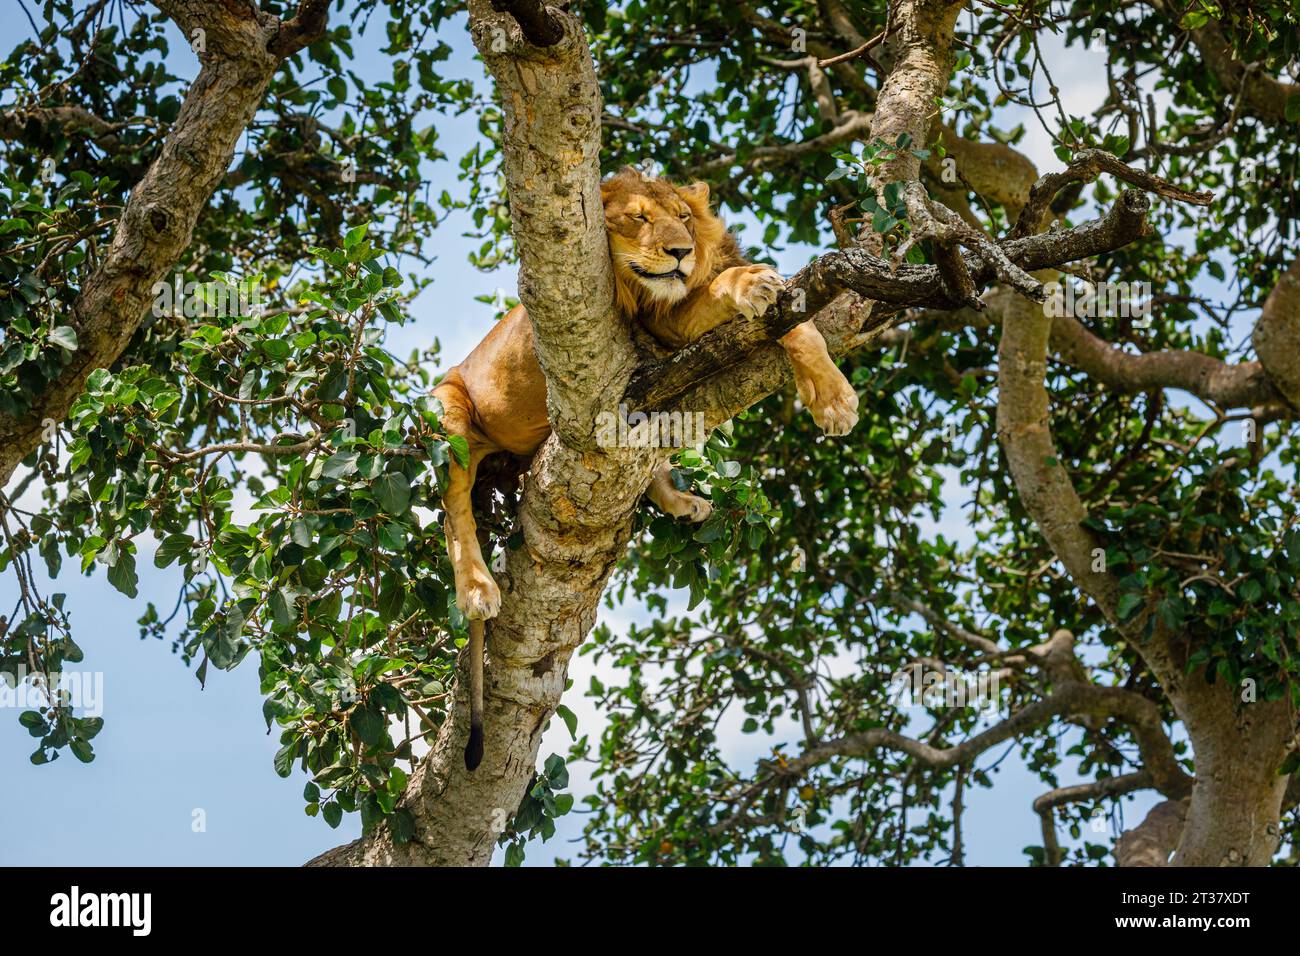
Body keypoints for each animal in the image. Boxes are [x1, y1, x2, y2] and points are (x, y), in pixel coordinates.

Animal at [434, 170, 863, 770]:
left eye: (683, 217)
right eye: (637, 219)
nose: (681, 252)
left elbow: (796, 328)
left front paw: (830, 392)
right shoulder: (660, 323)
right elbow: (740, 295)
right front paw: (829, 392)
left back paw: (685, 504)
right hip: (447, 406)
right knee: (455, 506)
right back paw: (476, 588)